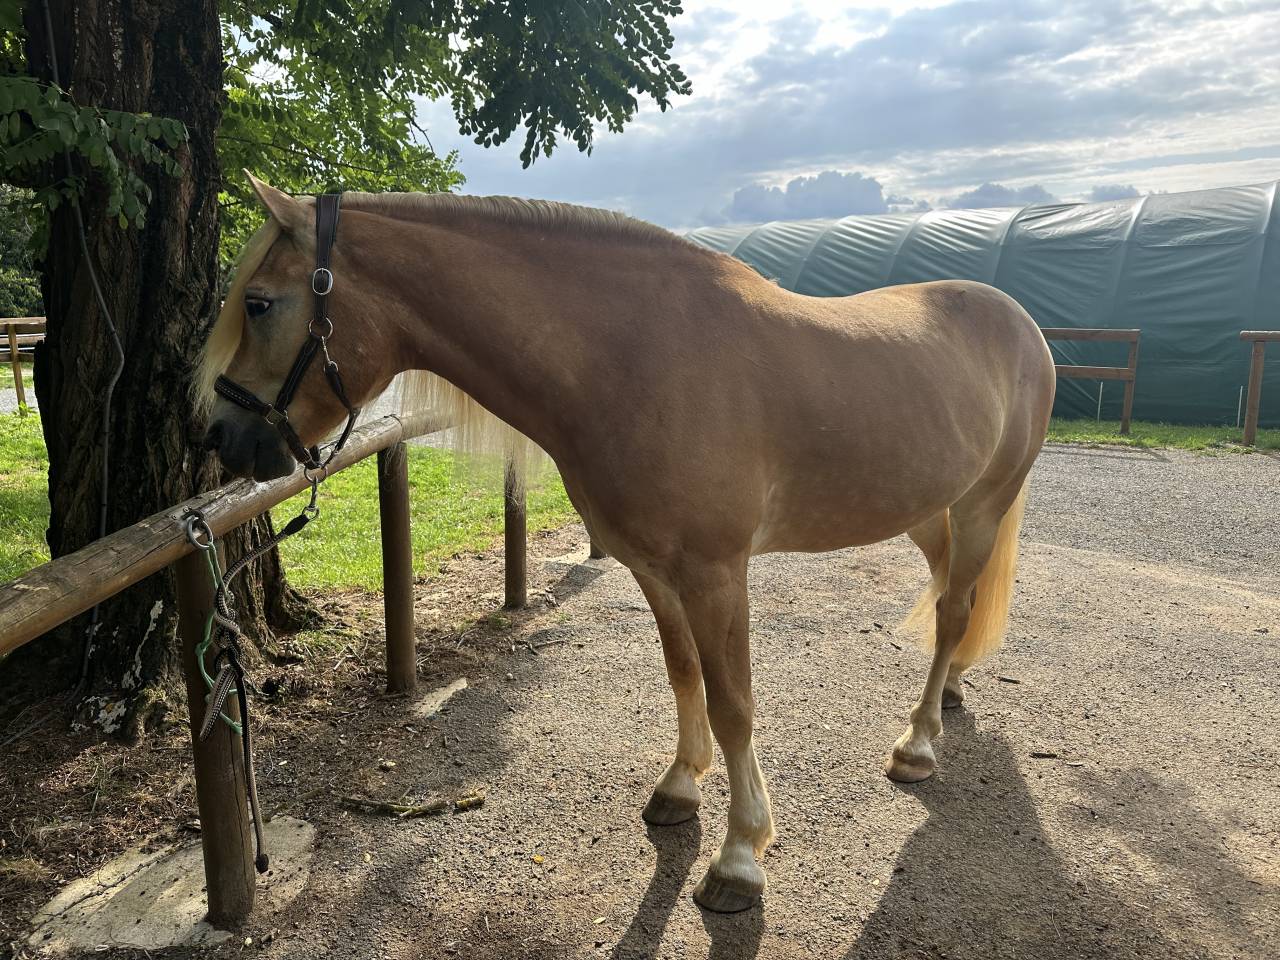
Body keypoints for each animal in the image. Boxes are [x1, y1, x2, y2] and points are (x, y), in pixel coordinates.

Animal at [196, 175, 1056, 913]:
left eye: (259, 303)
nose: (223, 436)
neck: (631, 357)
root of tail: (1020, 321)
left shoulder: (716, 573)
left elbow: (735, 703)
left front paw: (740, 857)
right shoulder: (655, 571)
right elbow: (683, 677)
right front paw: (679, 787)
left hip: (985, 501)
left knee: (954, 609)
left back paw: (918, 744)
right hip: (927, 508)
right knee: (950, 598)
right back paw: (947, 693)